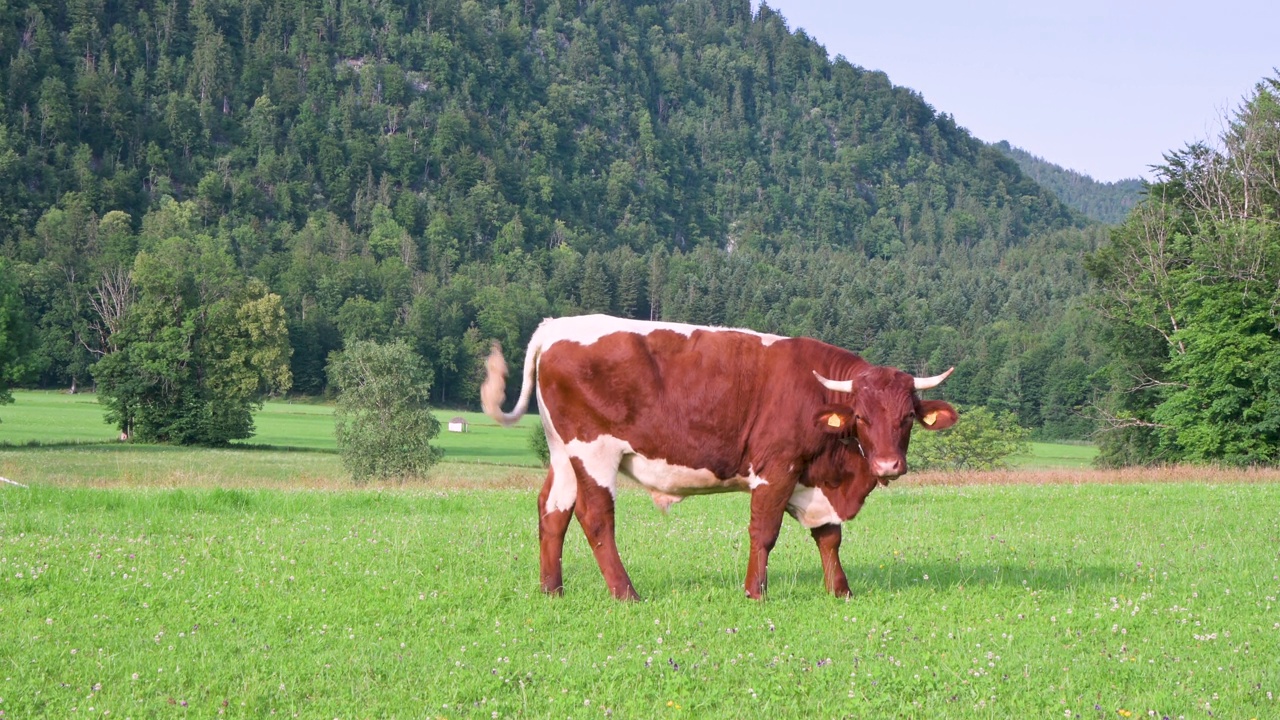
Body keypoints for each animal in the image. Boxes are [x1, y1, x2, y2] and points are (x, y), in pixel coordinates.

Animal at [476, 313, 957, 599]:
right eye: (861, 416)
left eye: (907, 417)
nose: (888, 465)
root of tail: (557, 325)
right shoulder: (776, 468)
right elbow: (764, 531)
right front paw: (755, 592)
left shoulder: (813, 480)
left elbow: (829, 536)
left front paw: (840, 591)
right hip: (593, 451)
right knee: (595, 517)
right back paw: (625, 592)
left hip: (562, 453)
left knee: (553, 509)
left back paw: (551, 589)